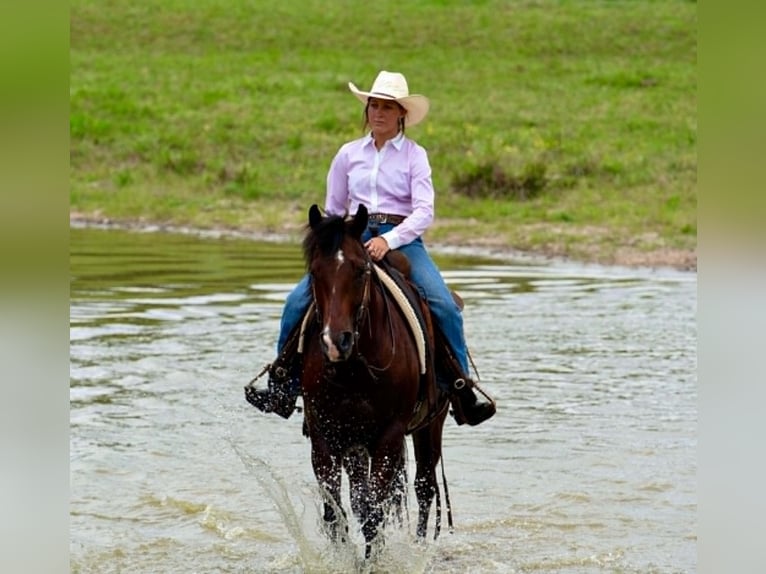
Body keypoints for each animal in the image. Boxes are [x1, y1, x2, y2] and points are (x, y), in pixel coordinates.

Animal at [299, 203, 449, 558]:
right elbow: (337, 512)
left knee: (424, 486)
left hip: (430, 426)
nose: (335, 342)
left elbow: (373, 512)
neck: (353, 369)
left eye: (360, 271)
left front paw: (372, 560)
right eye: (315, 272)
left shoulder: (389, 436)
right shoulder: (324, 435)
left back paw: (418, 549)